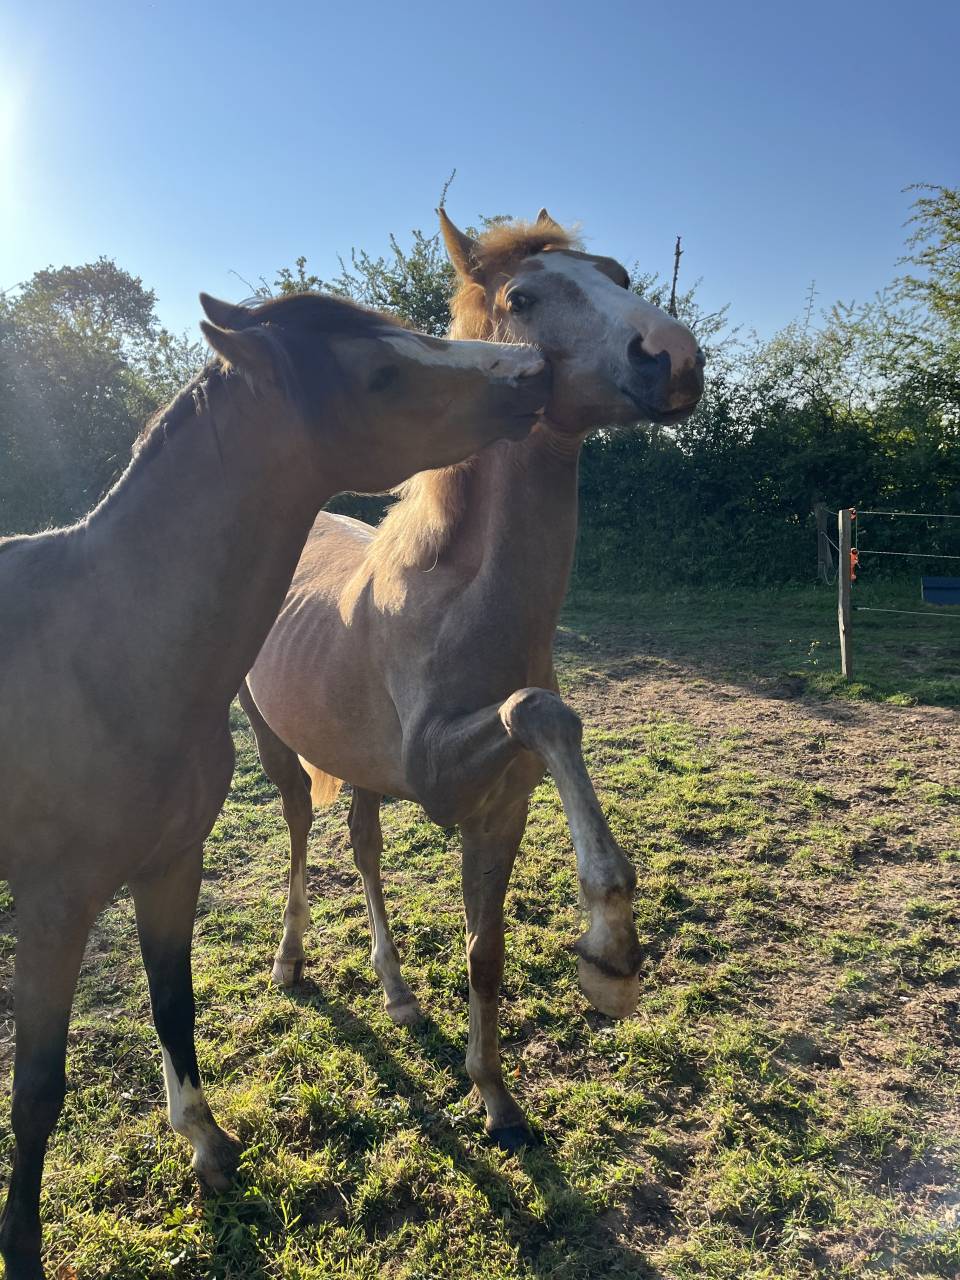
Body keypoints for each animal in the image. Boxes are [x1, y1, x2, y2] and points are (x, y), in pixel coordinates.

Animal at [0, 289, 550, 1280]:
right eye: (378, 374)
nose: (531, 372)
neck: (104, 648)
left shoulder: (171, 867)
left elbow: (173, 1005)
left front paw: (206, 1145)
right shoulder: (55, 904)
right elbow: (38, 1091)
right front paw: (21, 1251)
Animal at [240, 209, 706, 1149]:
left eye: (619, 275)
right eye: (523, 298)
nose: (674, 358)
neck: (457, 600)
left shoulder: (500, 813)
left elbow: (484, 956)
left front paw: (496, 1097)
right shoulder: (440, 773)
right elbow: (541, 709)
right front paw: (611, 954)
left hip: (365, 773)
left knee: (365, 848)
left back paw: (398, 994)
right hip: (275, 744)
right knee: (303, 832)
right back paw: (291, 960)